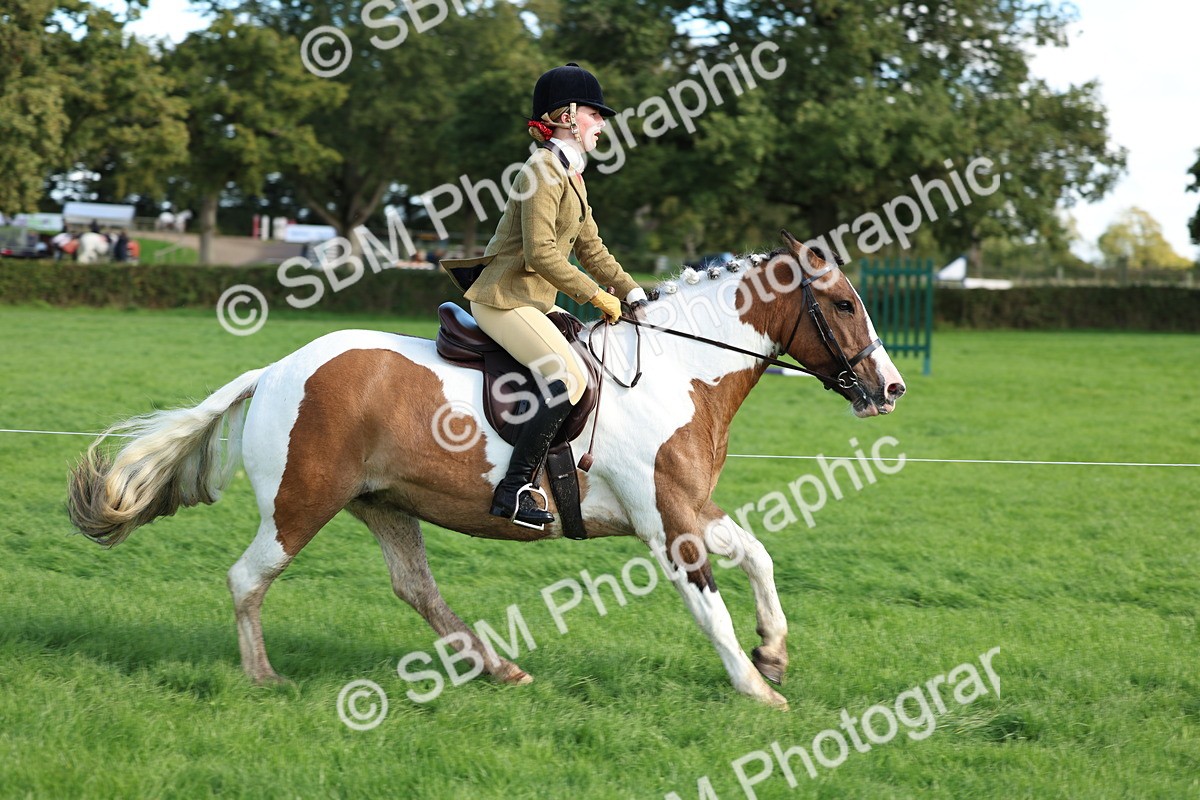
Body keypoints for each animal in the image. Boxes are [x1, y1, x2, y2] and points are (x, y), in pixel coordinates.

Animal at [67, 231, 905, 709]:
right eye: (843, 303)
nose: (890, 389)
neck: (679, 369)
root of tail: (275, 368)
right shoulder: (666, 521)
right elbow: (709, 608)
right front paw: (755, 687)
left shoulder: (688, 508)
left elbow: (759, 557)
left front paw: (774, 651)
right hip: (302, 502)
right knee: (249, 578)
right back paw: (263, 679)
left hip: (383, 502)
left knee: (415, 588)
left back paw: (498, 670)